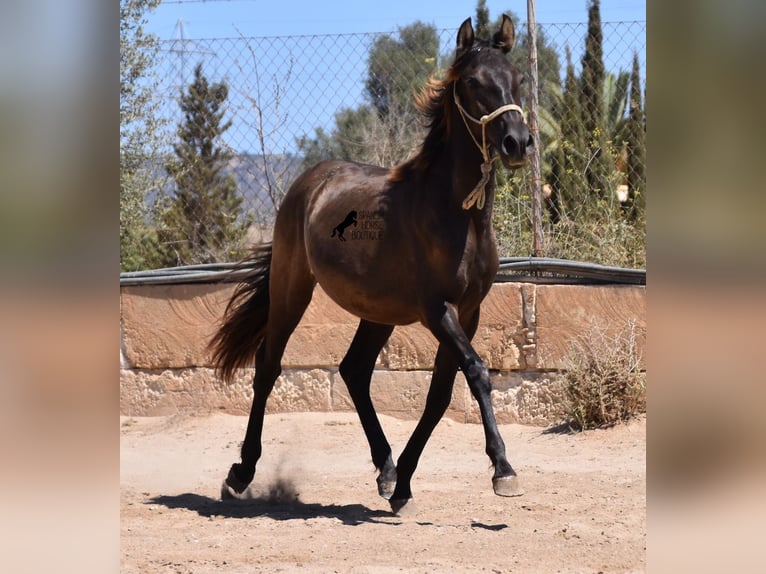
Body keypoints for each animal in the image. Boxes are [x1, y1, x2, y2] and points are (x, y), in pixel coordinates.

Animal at [210, 14, 536, 516]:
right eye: (474, 82)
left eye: (517, 79)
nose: (517, 142)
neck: (455, 215)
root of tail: (310, 180)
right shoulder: (437, 310)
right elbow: (477, 372)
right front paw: (504, 470)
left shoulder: (468, 312)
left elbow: (440, 395)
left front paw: (403, 486)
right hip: (292, 288)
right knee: (268, 365)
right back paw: (241, 473)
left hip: (377, 311)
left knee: (354, 370)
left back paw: (385, 471)